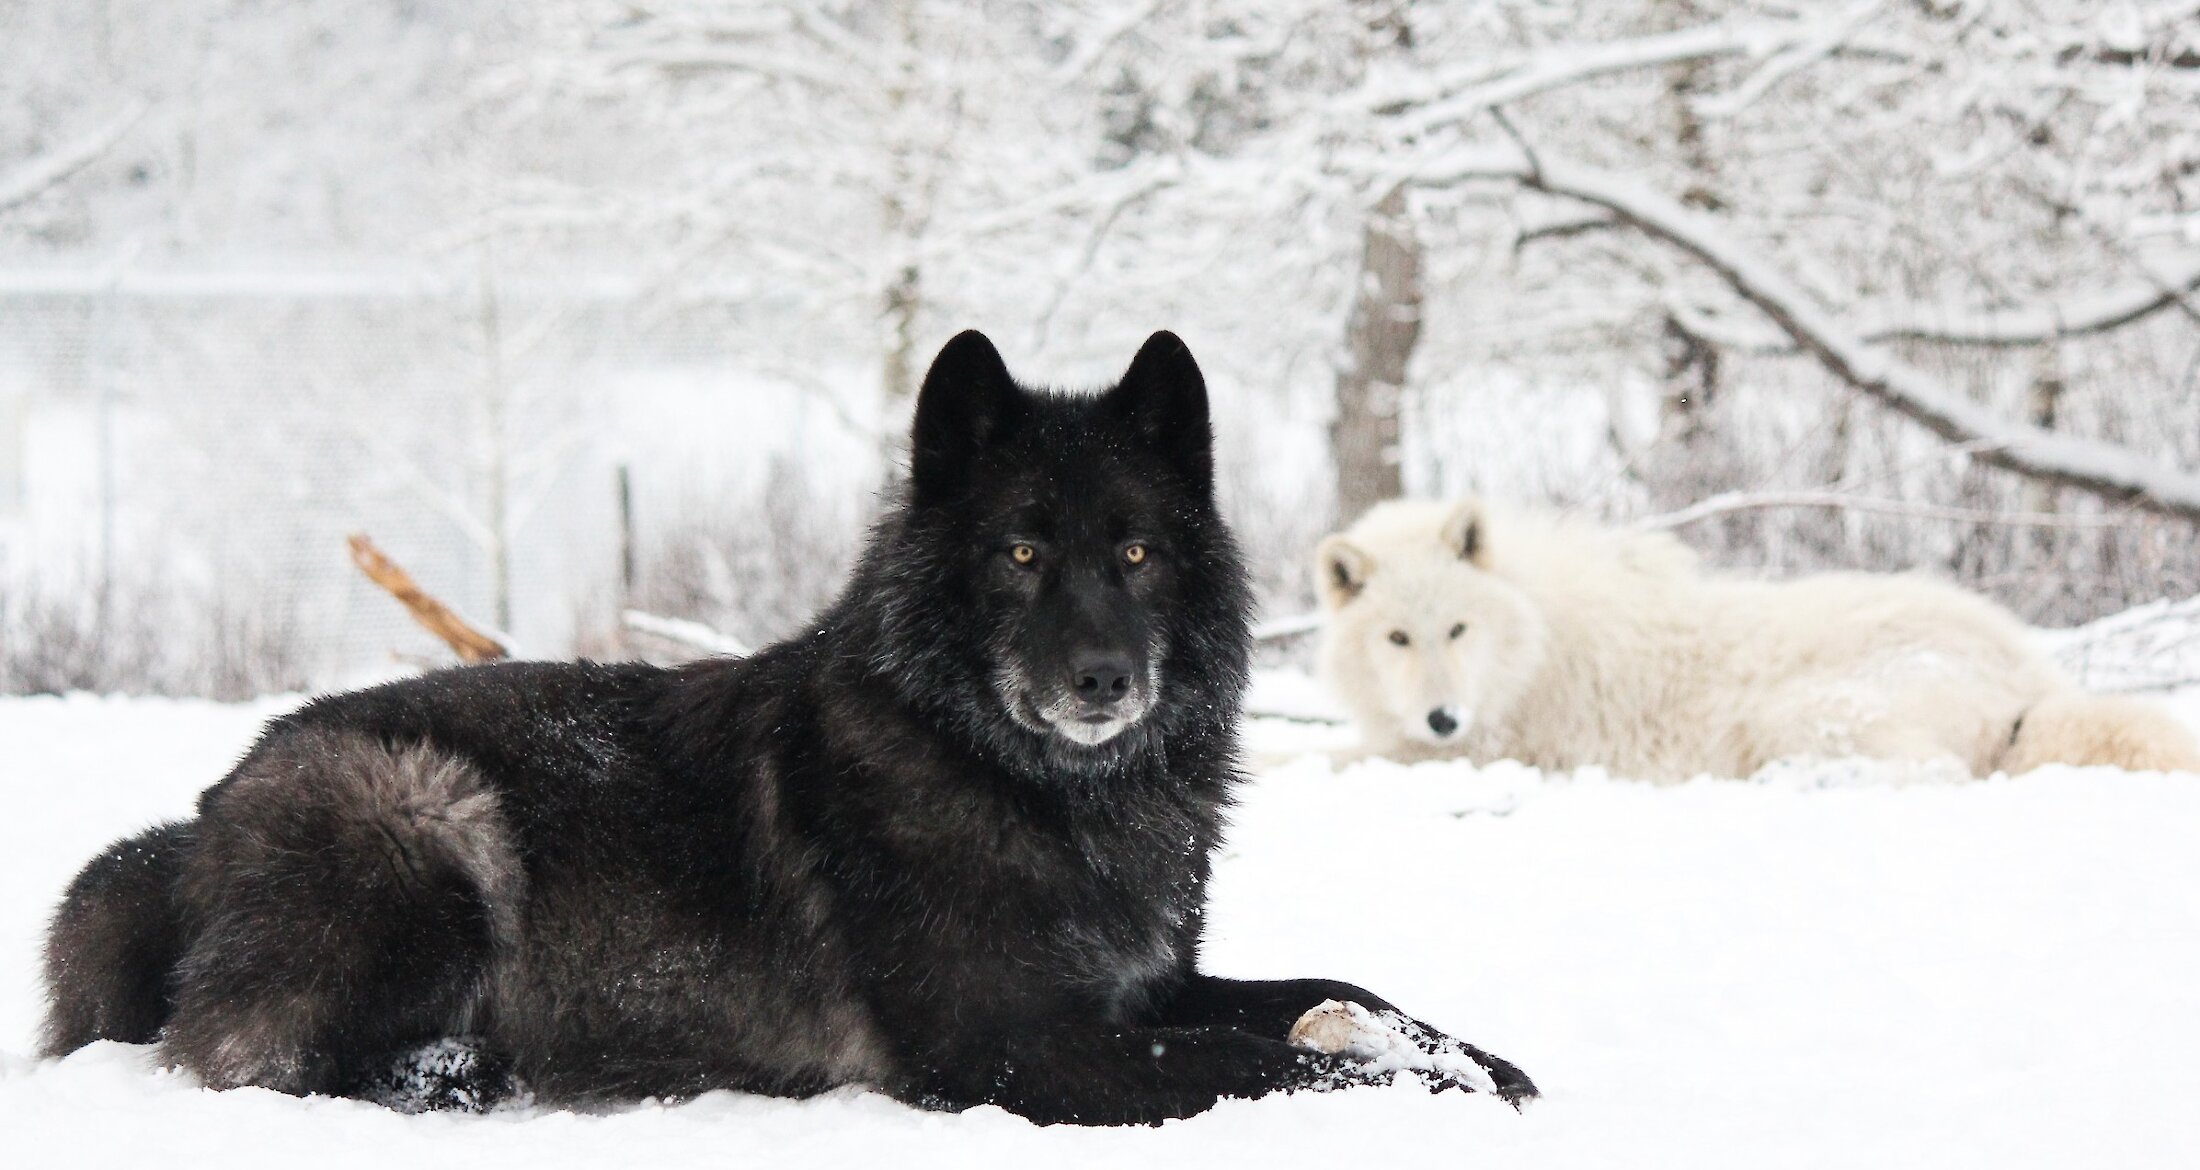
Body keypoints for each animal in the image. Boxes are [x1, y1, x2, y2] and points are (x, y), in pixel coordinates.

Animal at [42, 329, 1540, 1126]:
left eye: (1132, 553)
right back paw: (471, 1068)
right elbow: (1263, 1059)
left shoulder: (1144, 986)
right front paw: (1420, 1092)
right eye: (1017, 553)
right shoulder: (1020, 1047)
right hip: (431, 815)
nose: (1103, 681)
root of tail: (199, 818)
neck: (1035, 792)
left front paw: (1481, 1059)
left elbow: (1334, 993)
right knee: (263, 1063)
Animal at [1311, 499, 2191, 782]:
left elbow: (1312, 759)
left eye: (1458, 629)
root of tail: (2034, 678)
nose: (1443, 719)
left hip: (1798, 713)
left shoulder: (1474, 753)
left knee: (1930, 775)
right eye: (1397, 637)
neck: (1530, 647)